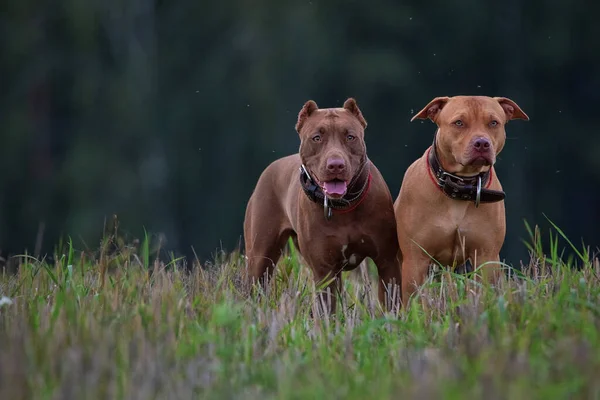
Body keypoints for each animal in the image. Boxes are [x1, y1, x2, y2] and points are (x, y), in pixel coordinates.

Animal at [244, 97, 404, 312]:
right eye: (317, 138)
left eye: (350, 137)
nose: (335, 165)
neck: (343, 207)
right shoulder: (324, 271)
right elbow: (327, 310)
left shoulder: (387, 263)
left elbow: (392, 304)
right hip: (260, 258)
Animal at [396, 95, 528, 304]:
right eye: (459, 123)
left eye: (493, 122)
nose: (481, 143)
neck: (461, 186)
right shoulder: (415, 259)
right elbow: (414, 299)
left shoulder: (486, 256)